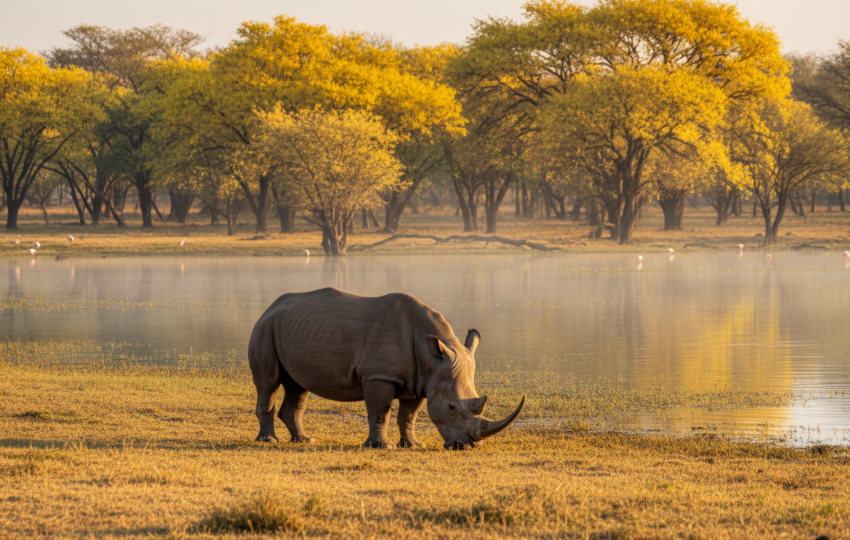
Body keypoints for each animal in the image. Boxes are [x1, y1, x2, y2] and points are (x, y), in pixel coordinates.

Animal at [248, 287, 524, 450]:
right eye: (452, 407)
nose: (467, 446)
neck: (431, 358)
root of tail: (270, 307)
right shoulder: (379, 375)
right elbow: (381, 411)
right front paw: (381, 447)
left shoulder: (422, 380)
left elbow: (409, 415)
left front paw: (413, 446)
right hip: (264, 327)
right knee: (268, 384)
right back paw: (268, 441)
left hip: (291, 328)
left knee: (298, 386)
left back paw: (304, 440)